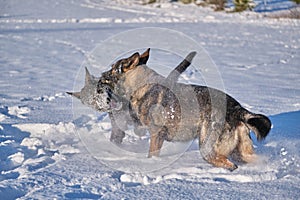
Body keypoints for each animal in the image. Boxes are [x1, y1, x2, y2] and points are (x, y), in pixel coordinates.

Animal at [98, 50, 272, 170]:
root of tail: (238, 109)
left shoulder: (156, 134)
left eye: (113, 68)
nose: (101, 75)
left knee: (229, 164)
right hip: (239, 152)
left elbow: (152, 154)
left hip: (208, 148)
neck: (140, 84)